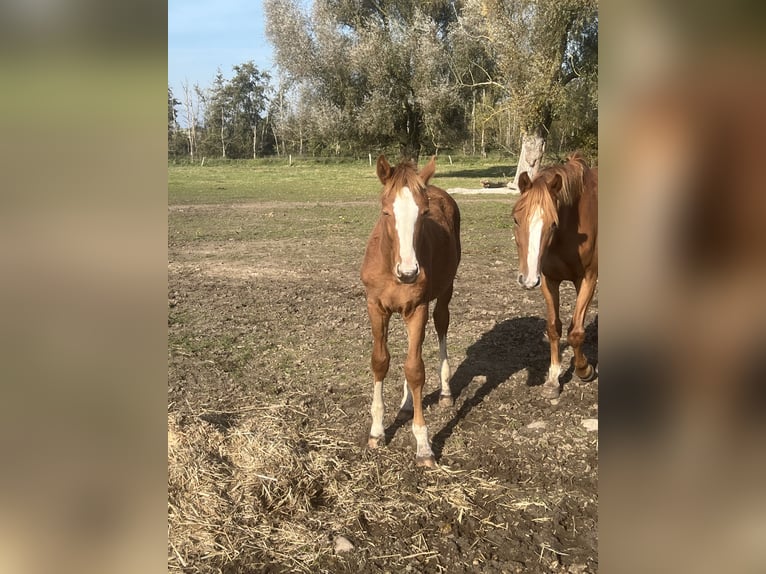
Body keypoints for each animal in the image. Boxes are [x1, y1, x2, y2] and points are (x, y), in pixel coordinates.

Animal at [362, 154, 462, 468]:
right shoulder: (375, 307)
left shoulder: (417, 308)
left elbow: (415, 370)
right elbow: (381, 361)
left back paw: (445, 392)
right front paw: (377, 432)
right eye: (386, 212)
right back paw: (406, 405)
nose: (408, 273)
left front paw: (423, 445)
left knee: (441, 324)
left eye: (424, 213)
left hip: (444, 290)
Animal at [516, 151, 600, 398]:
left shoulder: (588, 279)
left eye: (553, 224)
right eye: (516, 219)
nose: (527, 279)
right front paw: (553, 379)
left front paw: (584, 369)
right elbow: (554, 328)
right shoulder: (548, 280)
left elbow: (576, 332)